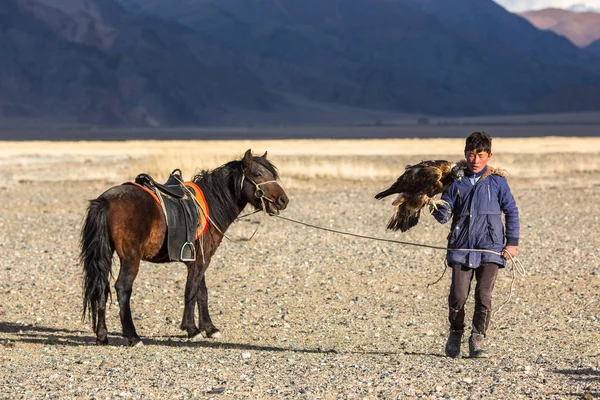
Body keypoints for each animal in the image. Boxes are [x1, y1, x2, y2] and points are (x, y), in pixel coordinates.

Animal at [79, 150, 288, 346]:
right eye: (258, 174)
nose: (283, 200)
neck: (212, 203)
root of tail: (105, 200)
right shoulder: (201, 260)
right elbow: (191, 290)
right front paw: (192, 329)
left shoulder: (200, 258)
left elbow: (201, 292)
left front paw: (209, 328)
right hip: (131, 257)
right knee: (122, 288)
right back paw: (133, 336)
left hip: (106, 254)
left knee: (101, 287)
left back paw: (102, 336)